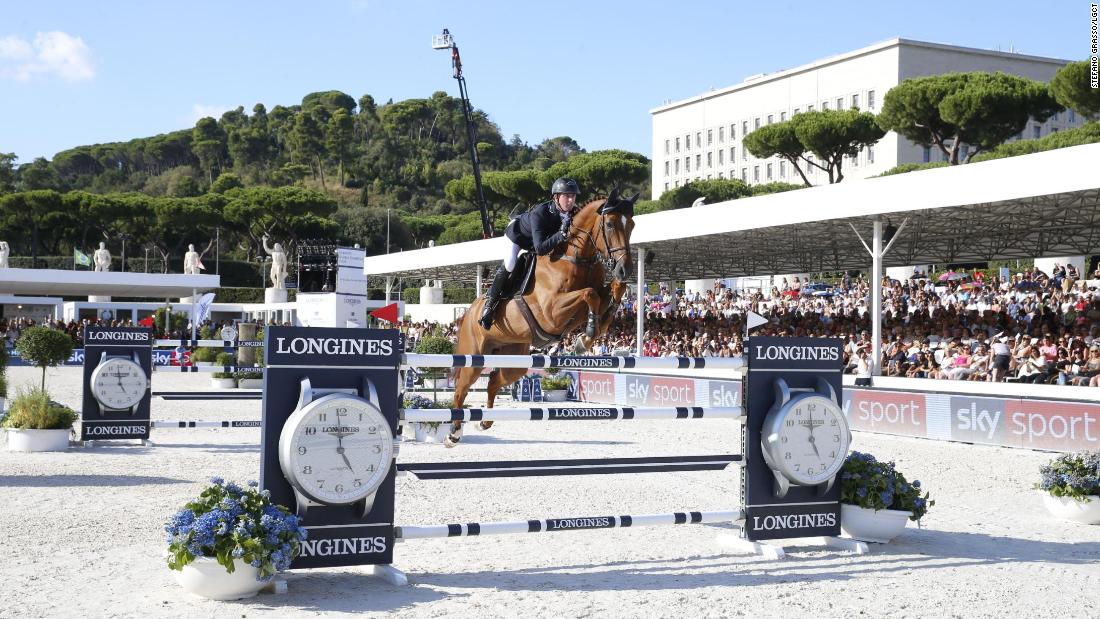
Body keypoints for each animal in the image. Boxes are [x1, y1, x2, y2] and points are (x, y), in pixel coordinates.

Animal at [444, 191, 642, 448]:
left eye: (632, 225)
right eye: (609, 224)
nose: (624, 270)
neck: (577, 258)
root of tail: (468, 313)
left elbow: (610, 292)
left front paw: (590, 334)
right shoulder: (551, 313)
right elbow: (589, 294)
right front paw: (586, 336)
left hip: (514, 359)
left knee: (494, 380)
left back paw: (484, 422)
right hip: (474, 358)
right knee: (461, 389)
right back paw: (454, 433)